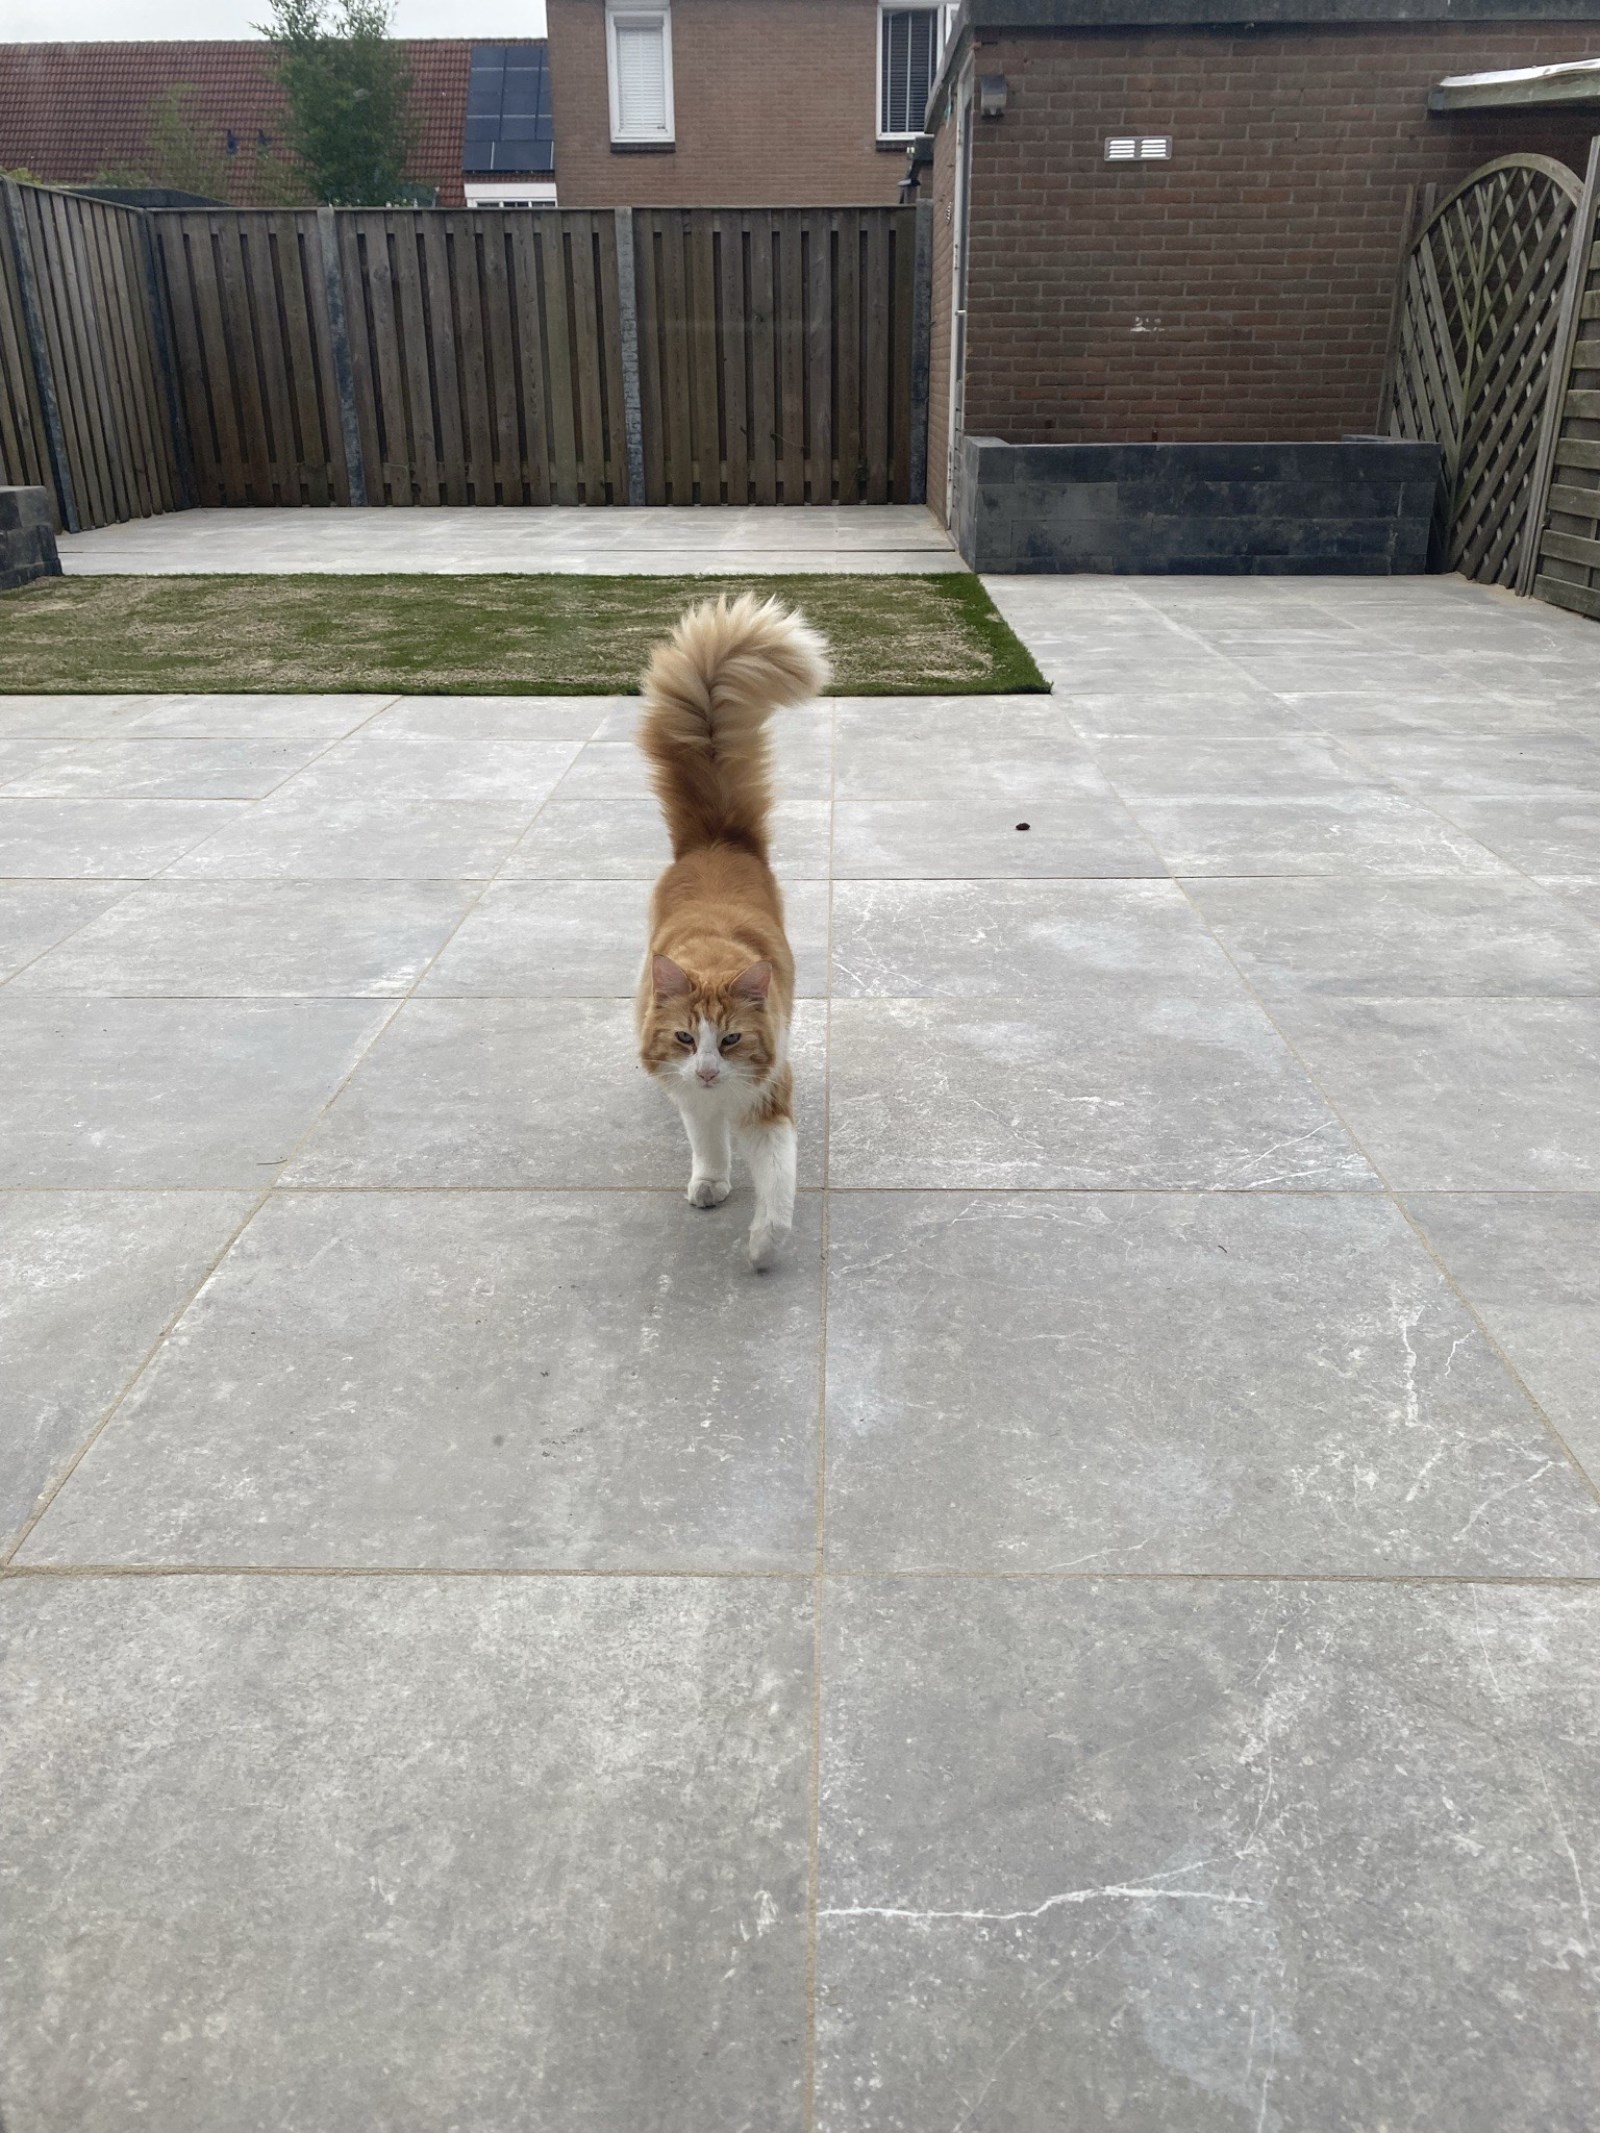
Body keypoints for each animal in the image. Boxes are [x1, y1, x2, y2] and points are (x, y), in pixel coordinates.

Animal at [634, 593, 831, 1270]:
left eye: (732, 1040)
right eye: (684, 1038)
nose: (709, 1071)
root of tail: (717, 840)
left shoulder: (769, 1099)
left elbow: (779, 1188)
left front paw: (763, 1247)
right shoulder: (693, 1098)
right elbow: (708, 1143)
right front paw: (710, 1183)